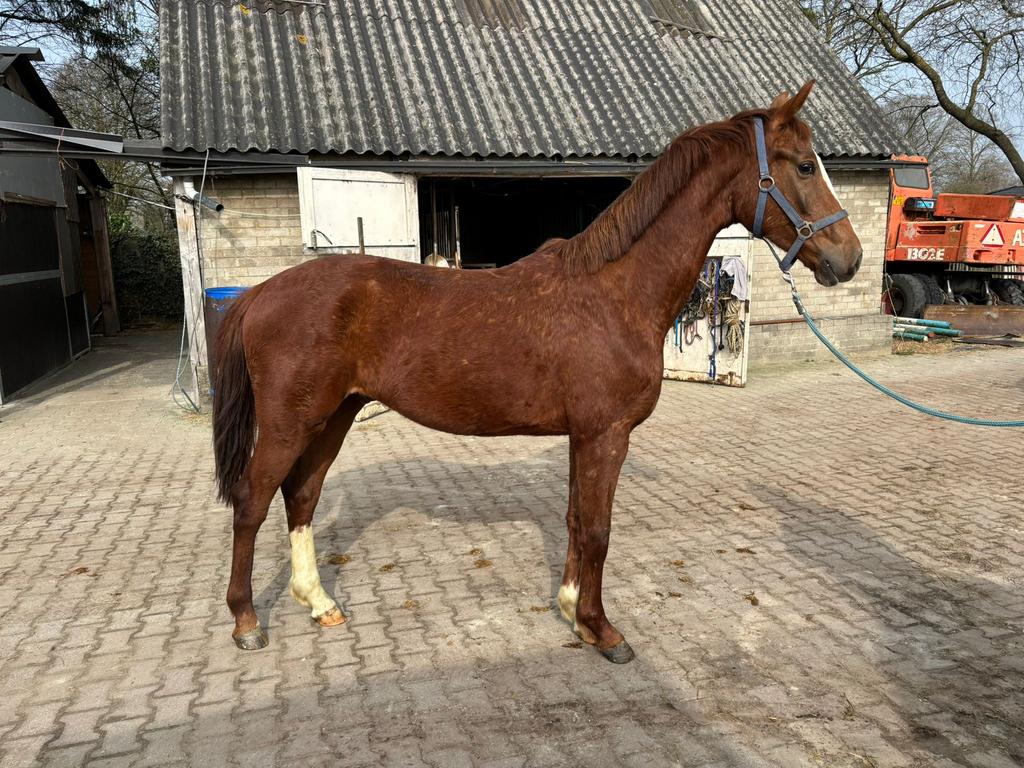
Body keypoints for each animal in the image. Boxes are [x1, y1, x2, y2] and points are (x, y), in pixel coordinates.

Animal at [212, 80, 863, 663]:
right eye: (805, 167)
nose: (850, 258)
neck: (615, 291)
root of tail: (260, 293)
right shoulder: (605, 434)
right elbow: (598, 530)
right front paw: (602, 630)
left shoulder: (584, 436)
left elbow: (576, 520)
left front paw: (572, 611)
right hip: (291, 422)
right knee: (252, 501)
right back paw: (246, 622)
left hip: (335, 415)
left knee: (302, 495)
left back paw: (319, 602)